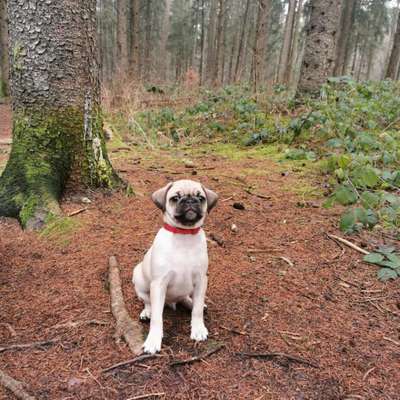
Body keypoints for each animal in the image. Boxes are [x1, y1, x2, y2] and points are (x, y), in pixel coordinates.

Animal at [133, 180, 217, 354]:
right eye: (175, 198)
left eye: (201, 198)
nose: (190, 200)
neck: (184, 235)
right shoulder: (159, 284)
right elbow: (157, 318)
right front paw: (153, 340)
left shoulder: (201, 280)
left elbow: (197, 311)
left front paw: (198, 328)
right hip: (139, 279)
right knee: (147, 301)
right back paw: (147, 311)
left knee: (188, 299)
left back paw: (192, 303)